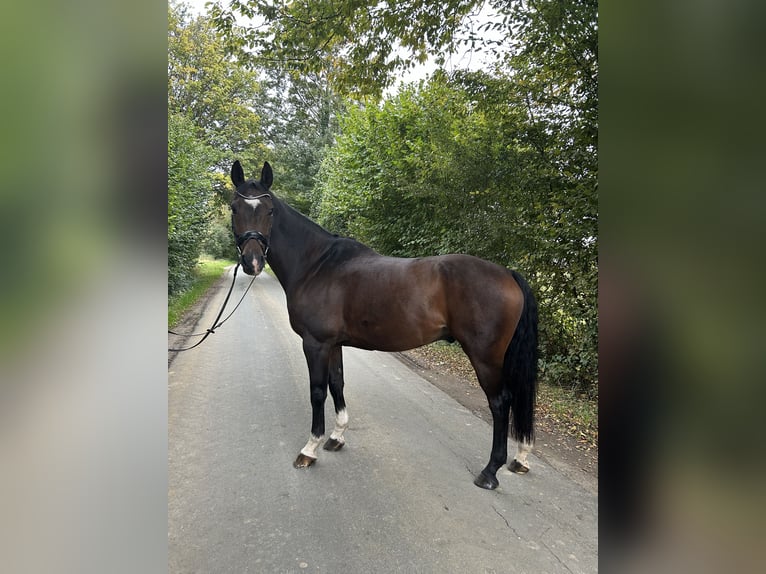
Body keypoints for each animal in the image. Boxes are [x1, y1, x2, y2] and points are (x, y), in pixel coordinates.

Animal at [231, 161, 536, 490]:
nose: (252, 262)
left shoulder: (315, 343)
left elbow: (317, 391)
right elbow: (337, 384)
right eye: (235, 207)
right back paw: (520, 459)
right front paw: (337, 437)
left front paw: (310, 449)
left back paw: (490, 471)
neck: (317, 266)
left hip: (485, 358)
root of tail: (507, 273)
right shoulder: (333, 344)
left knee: (500, 402)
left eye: (270, 210)